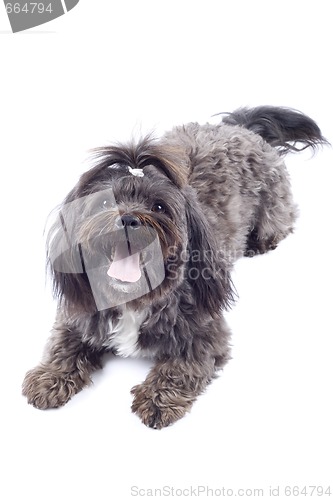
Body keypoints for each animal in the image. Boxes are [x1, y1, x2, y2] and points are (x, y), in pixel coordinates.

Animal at [21, 107, 326, 428]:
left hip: (274, 206)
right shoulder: (79, 314)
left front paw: (157, 398)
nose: (127, 219)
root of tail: (240, 128)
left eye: (158, 206)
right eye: (104, 202)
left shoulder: (206, 331)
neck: (134, 299)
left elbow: (181, 366)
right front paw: (50, 377)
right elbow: (62, 345)